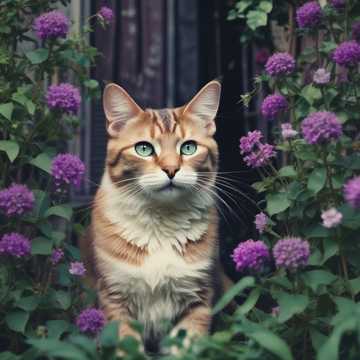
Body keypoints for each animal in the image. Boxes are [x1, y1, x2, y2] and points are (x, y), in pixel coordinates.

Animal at [81, 80, 228, 352]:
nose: (171, 169)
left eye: (189, 147)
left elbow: (185, 348)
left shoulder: (198, 298)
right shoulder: (115, 298)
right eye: (144, 148)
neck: (161, 222)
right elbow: (126, 347)